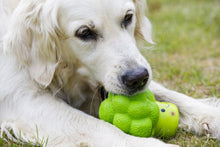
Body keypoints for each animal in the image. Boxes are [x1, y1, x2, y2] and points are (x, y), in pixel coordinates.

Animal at [0, 0, 220, 146]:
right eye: (84, 32)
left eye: (128, 17)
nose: (138, 78)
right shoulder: (25, 100)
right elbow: (102, 128)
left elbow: (176, 97)